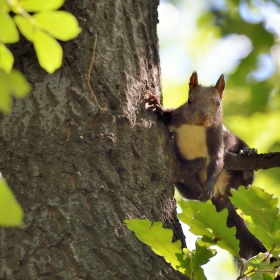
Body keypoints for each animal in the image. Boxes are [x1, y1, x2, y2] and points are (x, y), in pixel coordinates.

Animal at [144, 71, 266, 260]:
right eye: (189, 100)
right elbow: (168, 114)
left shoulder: (217, 137)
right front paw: (158, 107)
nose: (203, 115)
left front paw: (209, 184)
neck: (197, 128)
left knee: (246, 179)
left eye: (218, 103)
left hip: (236, 161)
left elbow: (217, 160)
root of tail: (221, 197)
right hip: (186, 185)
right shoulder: (177, 117)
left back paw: (248, 154)